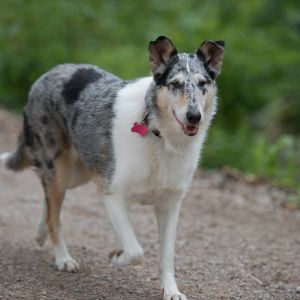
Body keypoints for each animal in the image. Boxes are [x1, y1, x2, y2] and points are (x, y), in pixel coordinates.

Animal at [0, 36, 225, 298]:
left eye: (203, 83)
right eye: (175, 84)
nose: (194, 116)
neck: (158, 134)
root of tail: (48, 73)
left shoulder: (170, 205)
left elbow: (167, 257)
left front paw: (171, 291)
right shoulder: (112, 195)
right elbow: (136, 251)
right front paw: (117, 257)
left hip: (78, 173)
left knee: (49, 203)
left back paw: (39, 233)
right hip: (61, 169)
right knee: (54, 214)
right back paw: (63, 258)